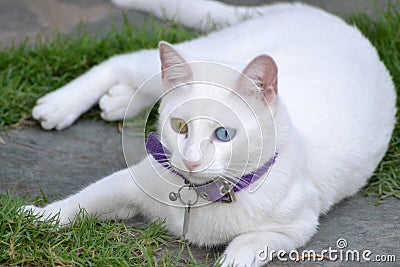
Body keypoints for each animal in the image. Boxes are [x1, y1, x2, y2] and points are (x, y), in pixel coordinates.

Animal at [25, 1, 396, 266]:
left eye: (224, 134)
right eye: (179, 126)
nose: (191, 159)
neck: (200, 195)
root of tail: (320, 14)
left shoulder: (293, 229)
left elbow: (244, 249)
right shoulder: (130, 181)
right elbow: (82, 200)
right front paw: (39, 216)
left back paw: (114, 102)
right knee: (123, 60)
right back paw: (60, 105)